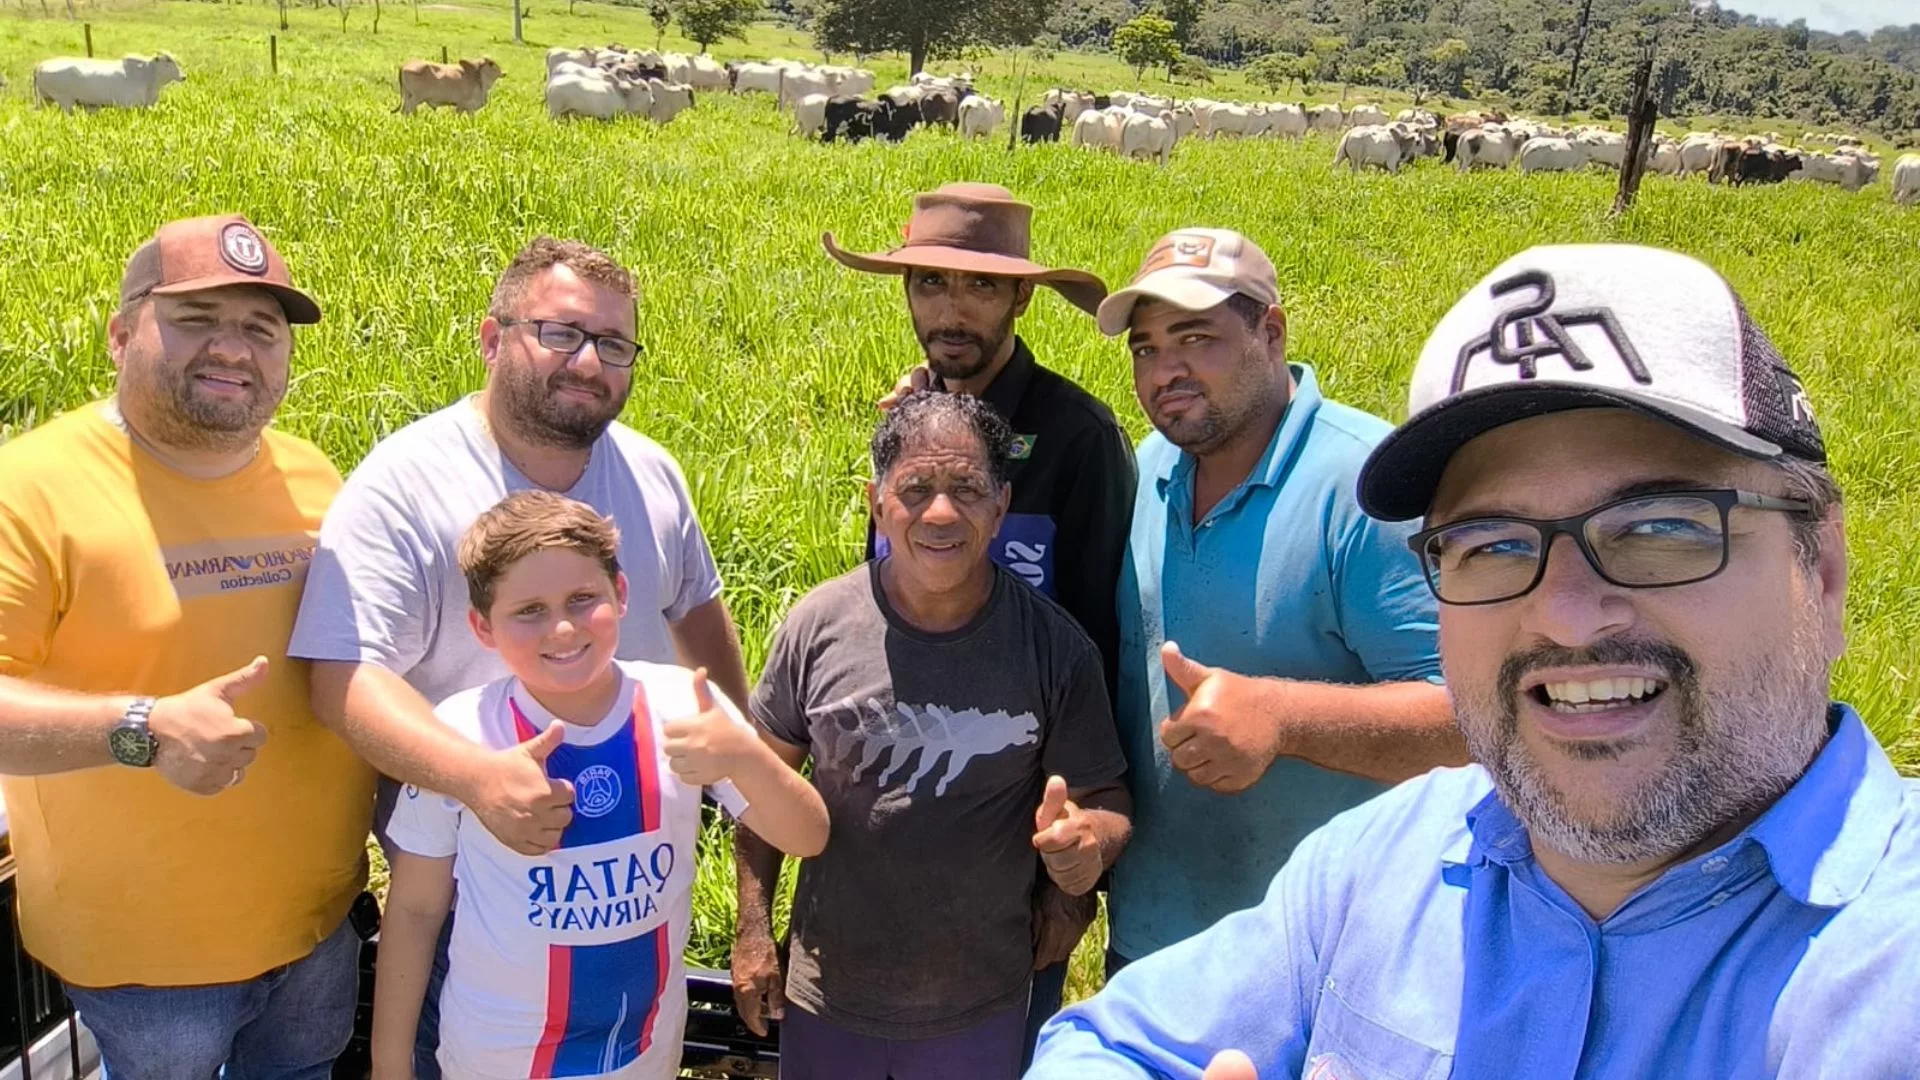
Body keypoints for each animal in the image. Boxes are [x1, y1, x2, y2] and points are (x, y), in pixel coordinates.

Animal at [35, 53, 185, 112]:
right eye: (168, 62)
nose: (183, 76)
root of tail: (41, 65)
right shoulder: (128, 106)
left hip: (45, 100)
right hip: (66, 102)